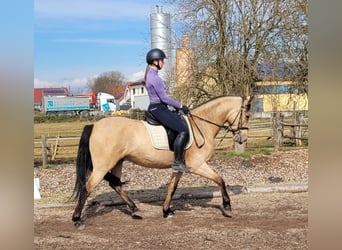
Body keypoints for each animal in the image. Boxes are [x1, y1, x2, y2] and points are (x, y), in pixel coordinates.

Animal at [71, 95, 254, 225]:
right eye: (247, 114)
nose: (243, 139)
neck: (201, 126)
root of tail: (94, 126)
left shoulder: (180, 167)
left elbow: (172, 188)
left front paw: (166, 210)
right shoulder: (197, 165)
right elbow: (220, 179)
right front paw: (227, 207)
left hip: (117, 162)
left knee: (116, 185)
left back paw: (135, 210)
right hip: (102, 166)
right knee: (87, 187)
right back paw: (77, 219)